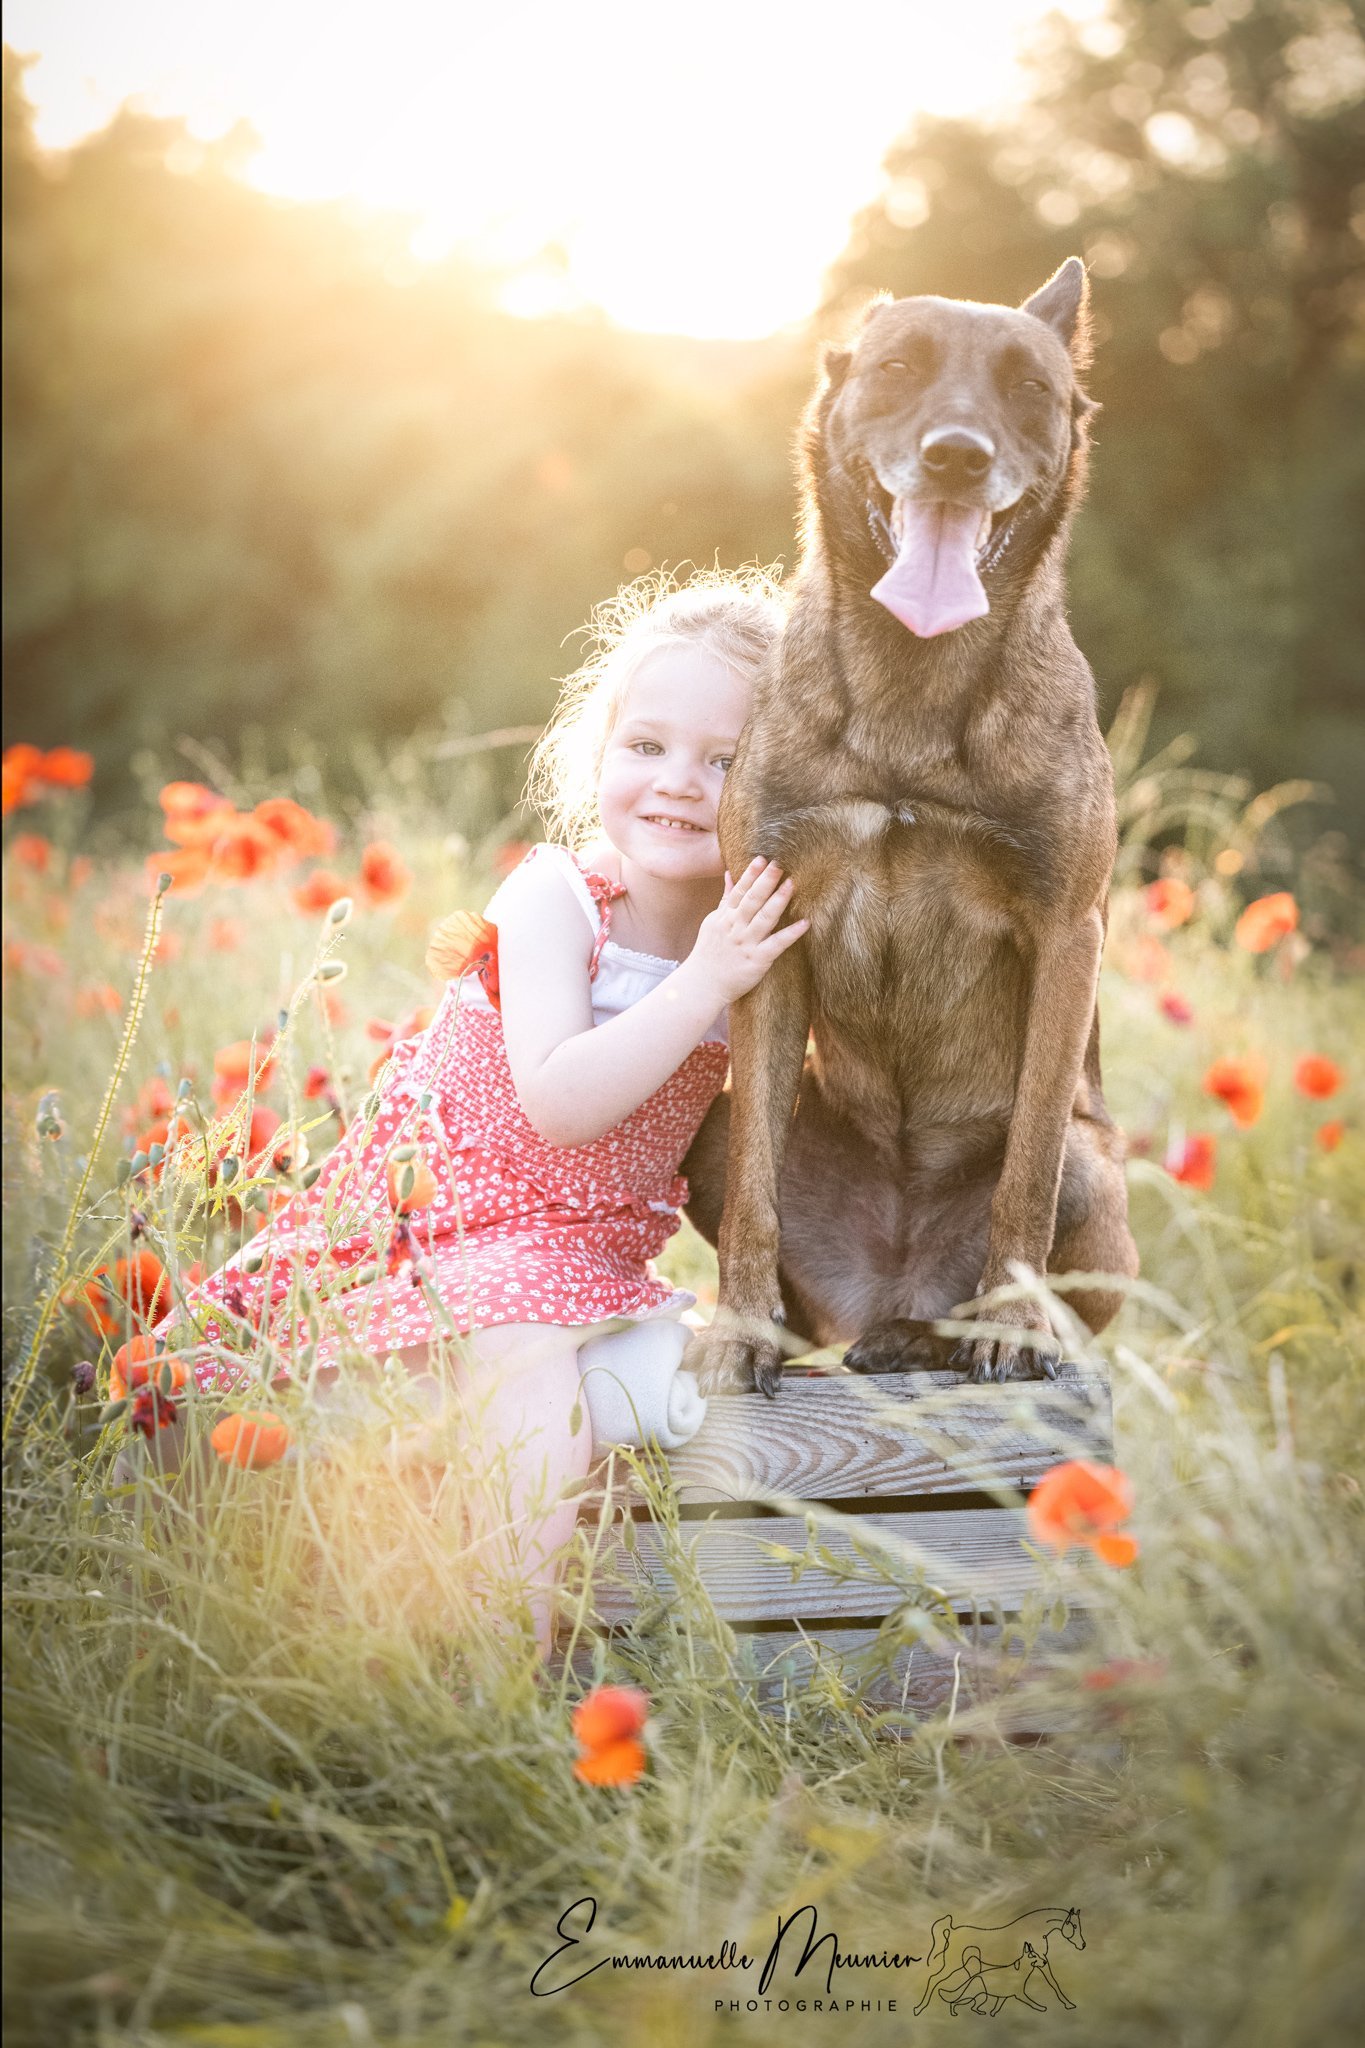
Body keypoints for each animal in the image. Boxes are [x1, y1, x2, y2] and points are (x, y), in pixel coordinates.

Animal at [687, 256, 1137, 1392]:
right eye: (897, 369)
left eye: (1029, 387)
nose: (956, 456)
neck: (913, 684)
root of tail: (887, 1282)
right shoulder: (768, 927)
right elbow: (755, 1191)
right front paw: (735, 1332)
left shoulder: (1067, 937)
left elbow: (1024, 1174)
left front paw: (1005, 1328)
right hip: (721, 1123)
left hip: (1096, 1172)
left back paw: (949, 1334)